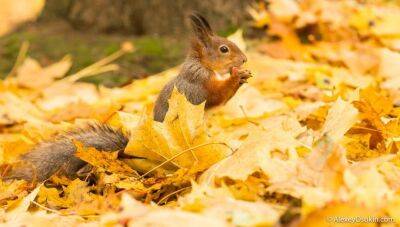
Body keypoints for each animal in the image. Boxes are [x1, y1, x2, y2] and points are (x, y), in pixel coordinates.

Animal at [3, 13, 252, 181]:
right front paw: (236, 76)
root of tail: (138, 154)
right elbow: (217, 95)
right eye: (224, 49)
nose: (244, 59)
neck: (201, 65)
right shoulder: (198, 84)